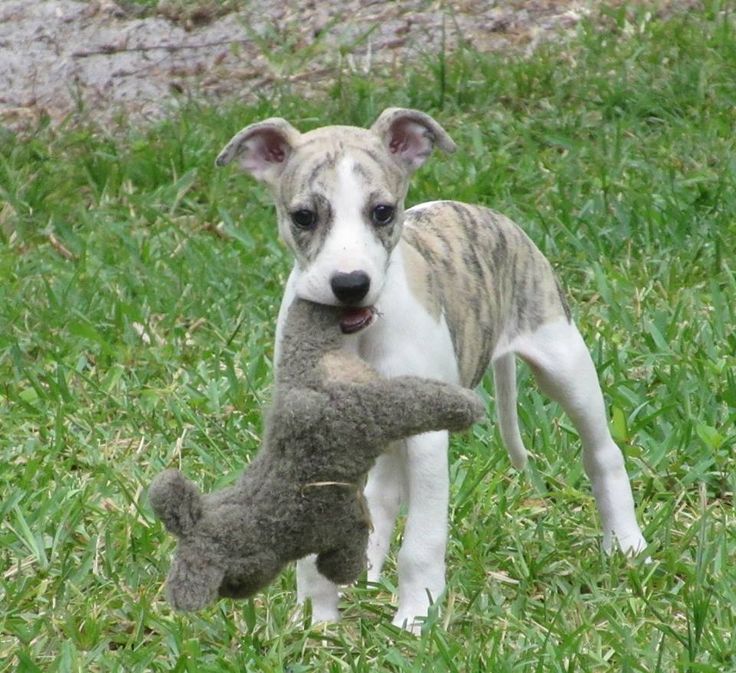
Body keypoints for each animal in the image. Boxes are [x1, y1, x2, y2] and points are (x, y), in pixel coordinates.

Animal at [216, 109, 648, 632]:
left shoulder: (427, 440)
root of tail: (486, 214)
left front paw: (415, 618)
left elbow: (422, 541)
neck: (358, 336)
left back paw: (627, 544)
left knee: (602, 453)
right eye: (304, 216)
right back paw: (365, 575)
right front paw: (315, 622)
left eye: (382, 212)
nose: (350, 284)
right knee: (381, 492)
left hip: (564, 361)